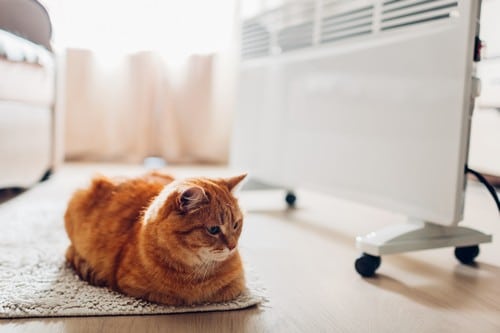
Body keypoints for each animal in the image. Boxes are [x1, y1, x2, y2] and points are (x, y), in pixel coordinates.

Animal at [64, 170, 248, 304]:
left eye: (236, 225)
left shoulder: (237, 284)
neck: (196, 272)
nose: (233, 246)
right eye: (213, 229)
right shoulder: (136, 288)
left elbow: (224, 292)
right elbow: (173, 297)